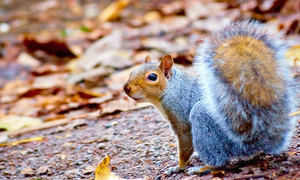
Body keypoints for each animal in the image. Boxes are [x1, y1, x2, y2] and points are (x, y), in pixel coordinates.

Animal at [122, 20, 298, 174]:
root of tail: (251, 142)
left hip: (204, 120)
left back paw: (203, 168)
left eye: (152, 77)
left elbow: (185, 141)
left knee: (220, 160)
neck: (171, 88)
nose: (126, 88)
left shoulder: (178, 113)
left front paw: (179, 167)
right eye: (132, 71)